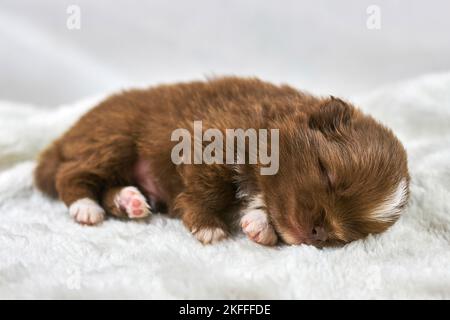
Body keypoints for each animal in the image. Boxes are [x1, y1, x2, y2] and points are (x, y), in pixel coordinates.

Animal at [33, 77, 410, 248]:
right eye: (327, 173)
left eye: (345, 233)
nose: (316, 232)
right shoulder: (210, 143)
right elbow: (209, 192)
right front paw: (208, 226)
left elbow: (259, 205)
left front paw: (260, 225)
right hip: (114, 138)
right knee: (70, 175)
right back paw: (85, 207)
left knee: (106, 186)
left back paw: (130, 200)